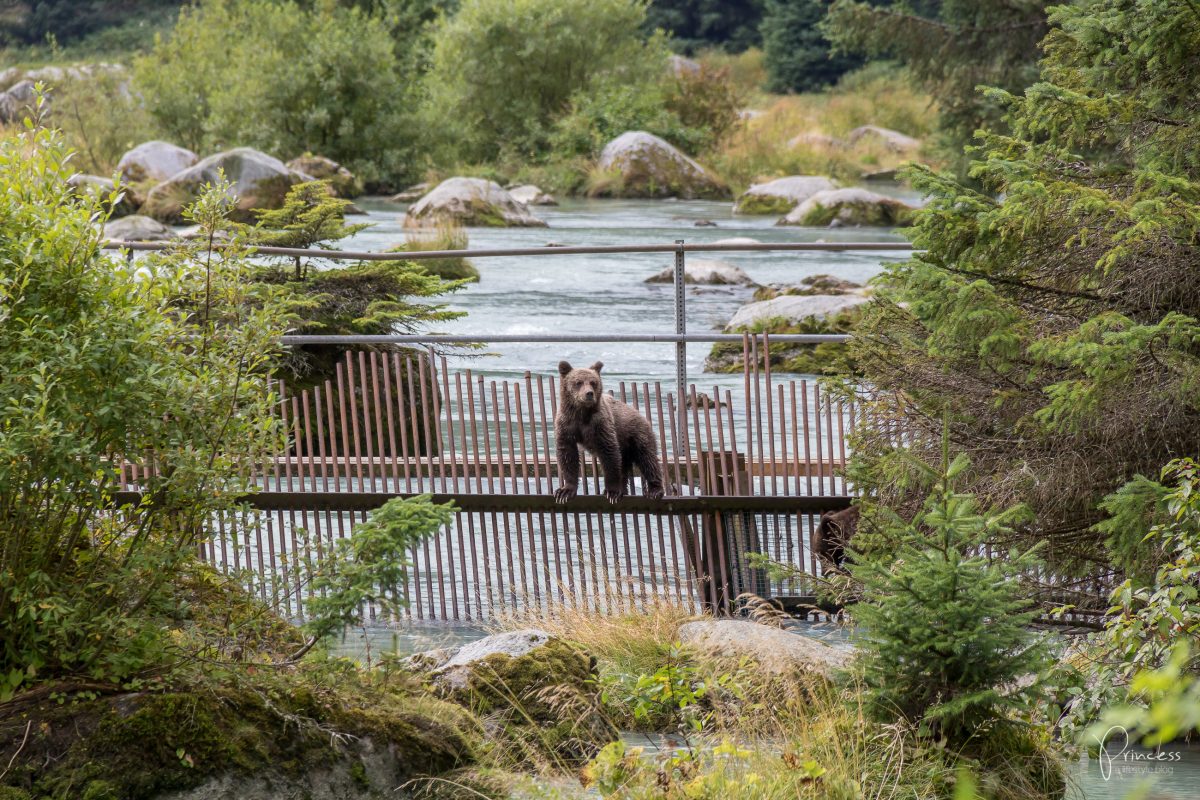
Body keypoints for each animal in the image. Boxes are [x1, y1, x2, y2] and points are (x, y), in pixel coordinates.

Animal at [552, 362, 667, 503]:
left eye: (593, 382)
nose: (589, 393)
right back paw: (624, 489)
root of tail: (642, 416)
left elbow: (609, 453)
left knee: (647, 459)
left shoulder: (600, 425)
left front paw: (612, 492)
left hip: (637, 434)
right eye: (578, 382)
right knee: (624, 465)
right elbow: (567, 454)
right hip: (625, 446)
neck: (582, 414)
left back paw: (655, 490)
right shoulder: (566, 424)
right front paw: (564, 491)